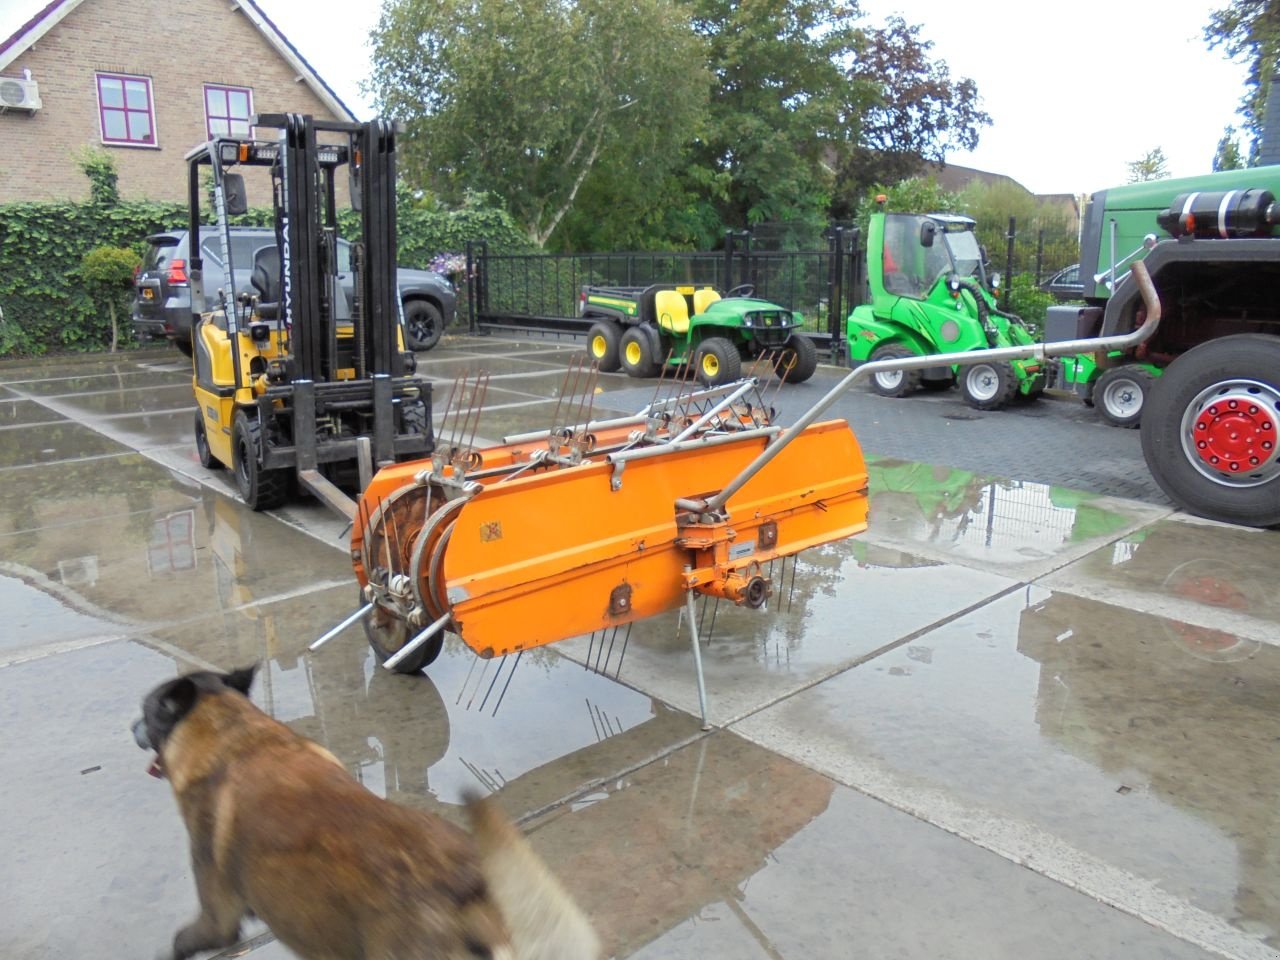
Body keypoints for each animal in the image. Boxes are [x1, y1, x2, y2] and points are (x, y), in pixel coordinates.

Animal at [132, 665, 601, 960]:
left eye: (146, 711)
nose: (130, 727)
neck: (236, 736)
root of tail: (465, 887)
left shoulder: (216, 918)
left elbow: (188, 938)